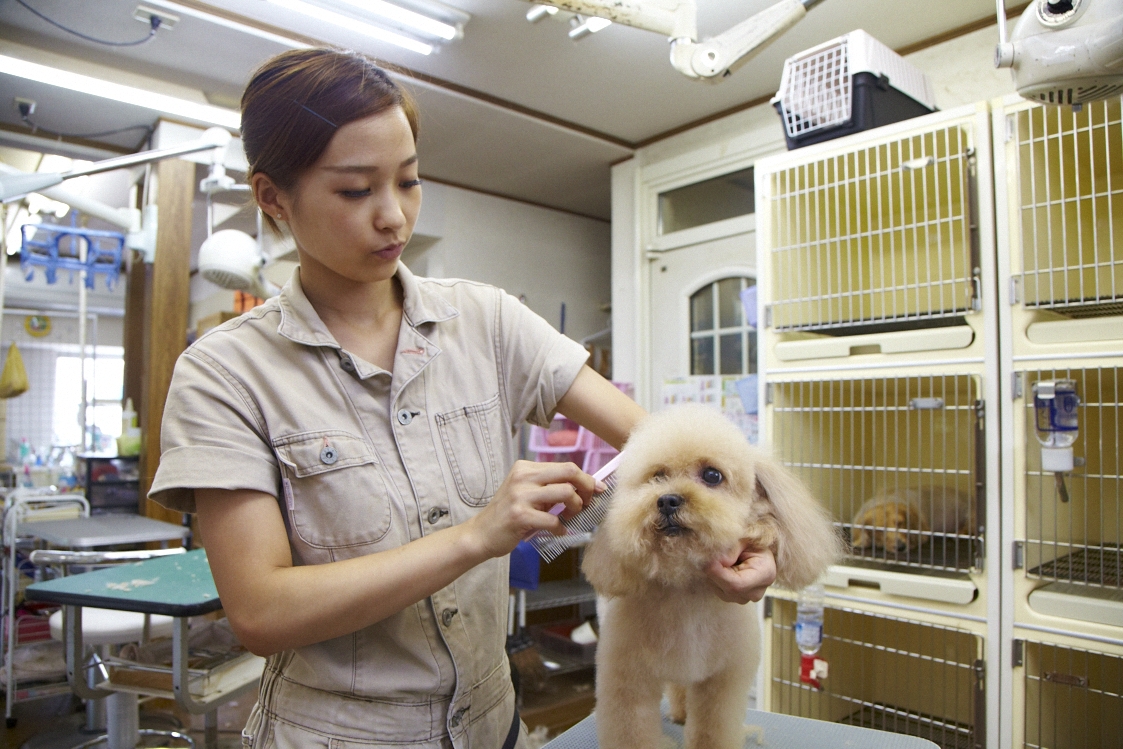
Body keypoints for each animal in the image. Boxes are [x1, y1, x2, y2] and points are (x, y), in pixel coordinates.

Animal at [583, 406, 840, 749]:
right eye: (658, 476)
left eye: (712, 476)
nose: (667, 500)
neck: (687, 587)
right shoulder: (627, 679)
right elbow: (631, 731)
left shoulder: (721, 681)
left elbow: (712, 728)